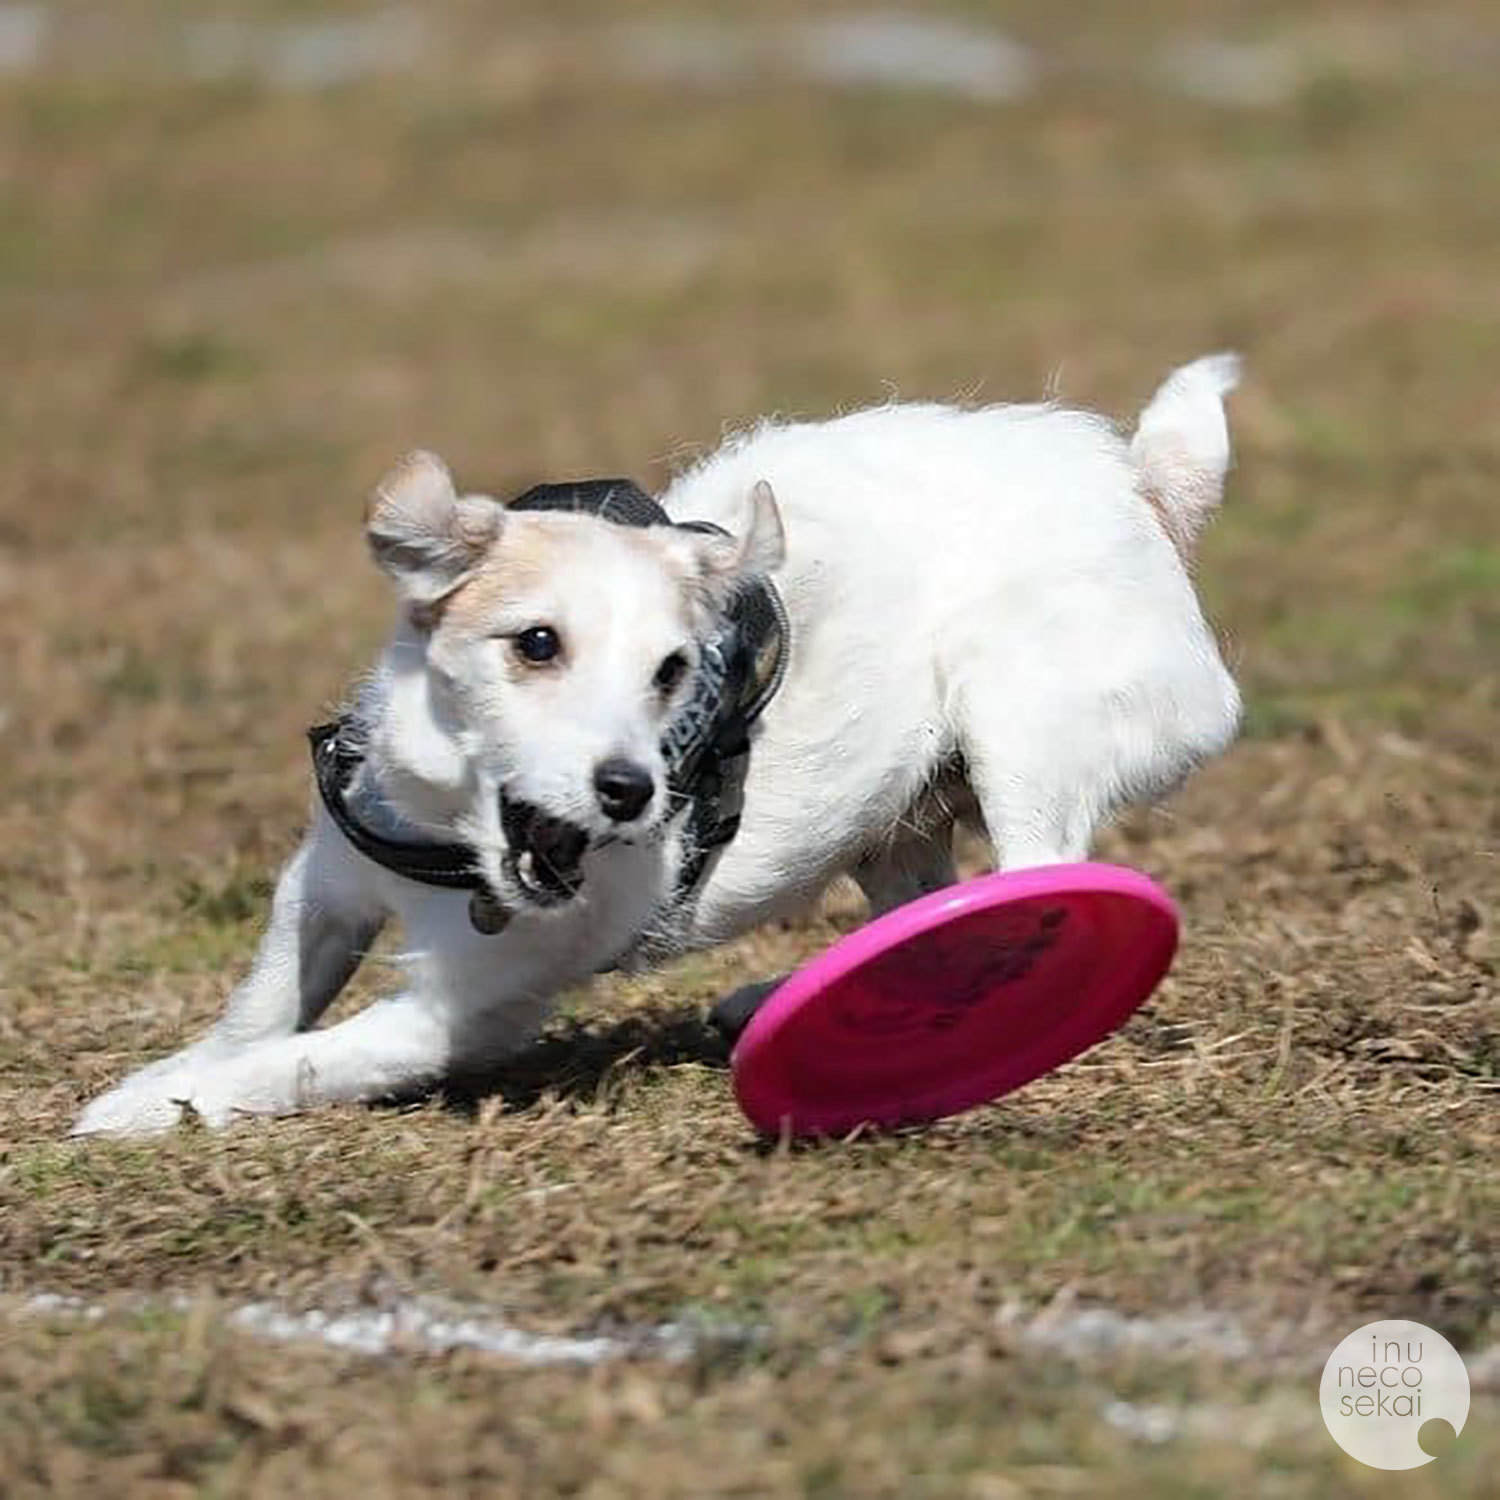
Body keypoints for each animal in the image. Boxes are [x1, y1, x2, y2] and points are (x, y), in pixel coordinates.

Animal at [73, 357, 1242, 1128]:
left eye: (674, 671)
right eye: (536, 644)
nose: (632, 791)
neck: (459, 839)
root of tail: (1145, 487)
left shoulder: (463, 1012)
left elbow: (303, 1062)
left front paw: (163, 1107)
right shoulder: (325, 880)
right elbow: (263, 1007)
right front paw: (170, 1075)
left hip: (1019, 727)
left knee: (1034, 882)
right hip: (891, 818)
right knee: (927, 909)